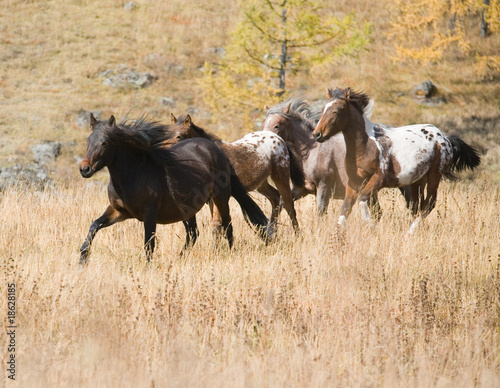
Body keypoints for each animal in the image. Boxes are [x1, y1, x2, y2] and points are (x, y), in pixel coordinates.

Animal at [80, 113, 270, 262]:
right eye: (88, 140)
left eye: (105, 142)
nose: (84, 169)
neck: (132, 175)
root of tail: (214, 148)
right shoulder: (118, 211)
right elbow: (94, 226)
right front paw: (83, 259)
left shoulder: (149, 214)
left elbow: (149, 244)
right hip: (187, 209)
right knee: (193, 233)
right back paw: (179, 259)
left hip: (220, 198)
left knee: (227, 224)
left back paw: (229, 253)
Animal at [165, 114, 304, 236]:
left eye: (179, 136)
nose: (167, 154)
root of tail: (279, 139)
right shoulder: (212, 200)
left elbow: (216, 225)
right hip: (261, 183)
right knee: (275, 197)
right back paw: (272, 231)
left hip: (280, 176)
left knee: (289, 206)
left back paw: (297, 235)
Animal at [312, 88, 480, 232]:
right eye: (323, 109)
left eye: (336, 111)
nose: (317, 134)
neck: (366, 145)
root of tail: (445, 138)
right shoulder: (354, 182)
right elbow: (345, 210)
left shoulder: (378, 180)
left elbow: (363, 200)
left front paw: (371, 226)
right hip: (417, 181)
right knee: (416, 205)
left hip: (434, 176)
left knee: (429, 204)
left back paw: (410, 232)